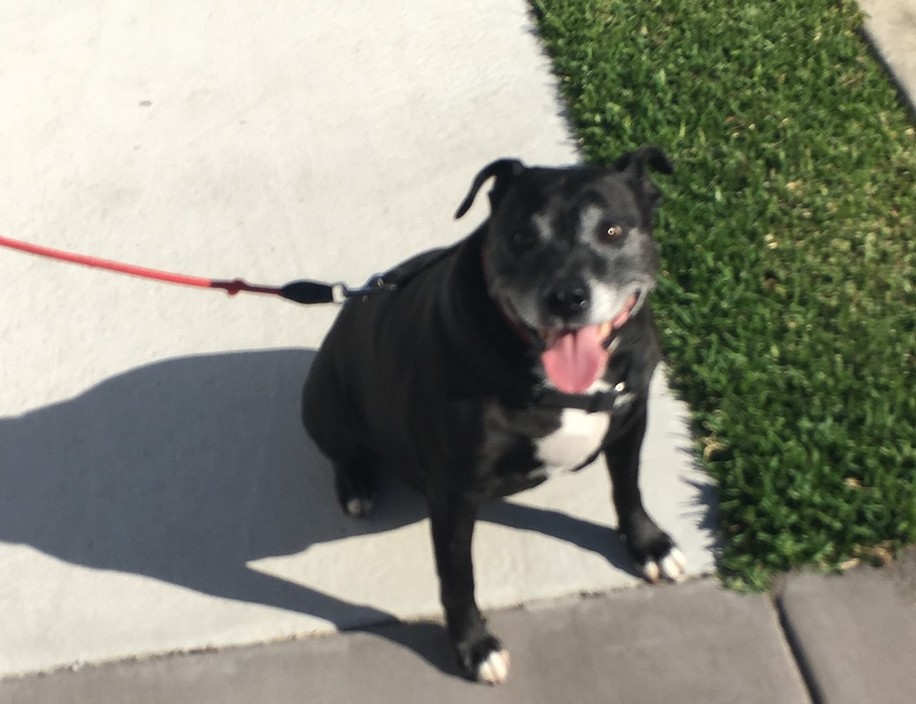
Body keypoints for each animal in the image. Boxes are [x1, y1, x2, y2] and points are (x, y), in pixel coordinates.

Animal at [304, 147, 684, 680]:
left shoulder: (632, 418)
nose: (566, 297)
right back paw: (357, 483)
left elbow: (627, 486)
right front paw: (474, 645)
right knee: (342, 449)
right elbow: (457, 575)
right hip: (325, 401)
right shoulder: (454, 491)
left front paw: (649, 544)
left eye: (612, 231)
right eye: (521, 237)